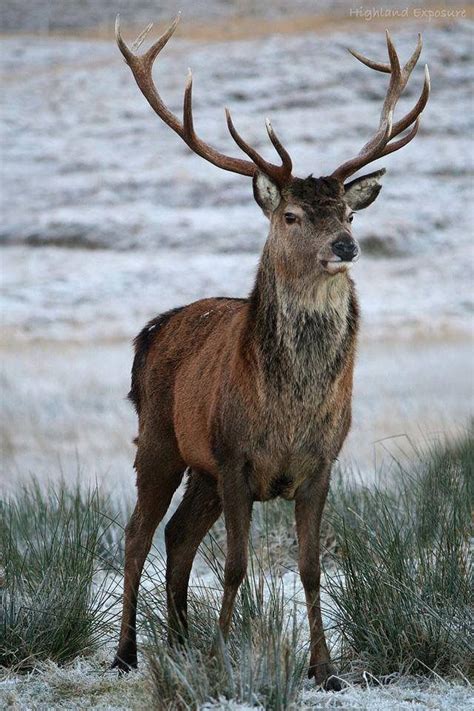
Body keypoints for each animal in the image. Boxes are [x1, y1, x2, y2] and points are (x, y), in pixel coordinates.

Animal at [112, 12, 430, 688]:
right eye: (290, 216)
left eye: (347, 214)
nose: (345, 246)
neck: (288, 412)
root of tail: (151, 332)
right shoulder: (234, 455)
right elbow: (235, 564)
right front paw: (223, 659)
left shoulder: (322, 463)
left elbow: (311, 567)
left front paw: (325, 669)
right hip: (161, 439)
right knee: (137, 535)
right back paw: (127, 654)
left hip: (201, 470)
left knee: (178, 537)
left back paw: (178, 641)